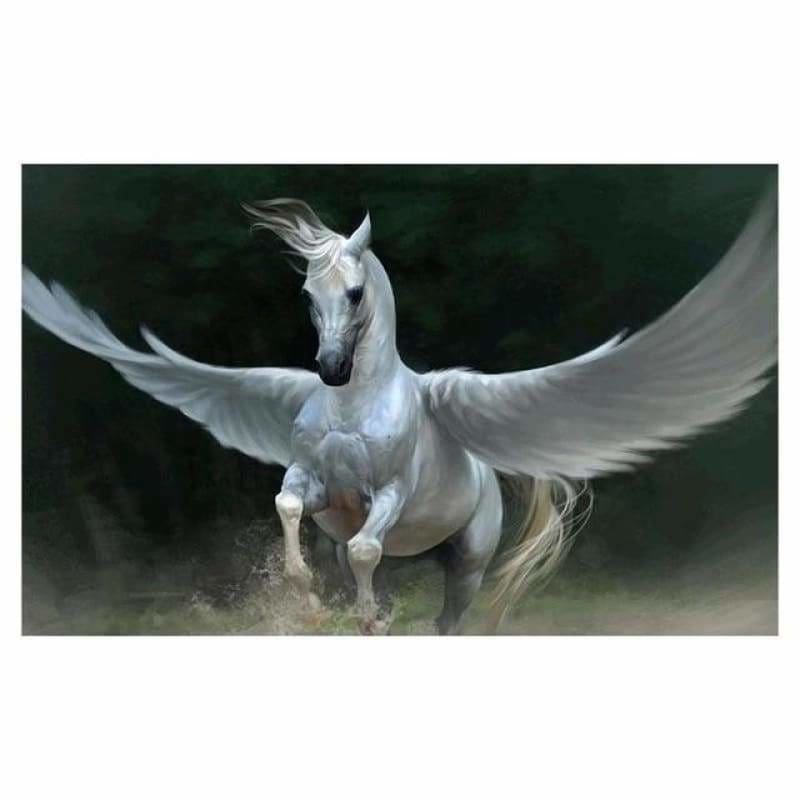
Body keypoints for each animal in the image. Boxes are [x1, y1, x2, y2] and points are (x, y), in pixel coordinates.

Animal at [22, 191, 777, 634]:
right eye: (307, 294)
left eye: (355, 293)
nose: (330, 368)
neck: (354, 403)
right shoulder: (317, 486)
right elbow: (292, 510)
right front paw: (305, 596)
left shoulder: (385, 493)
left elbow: (366, 546)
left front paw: (366, 618)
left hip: (466, 563)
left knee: (445, 617)